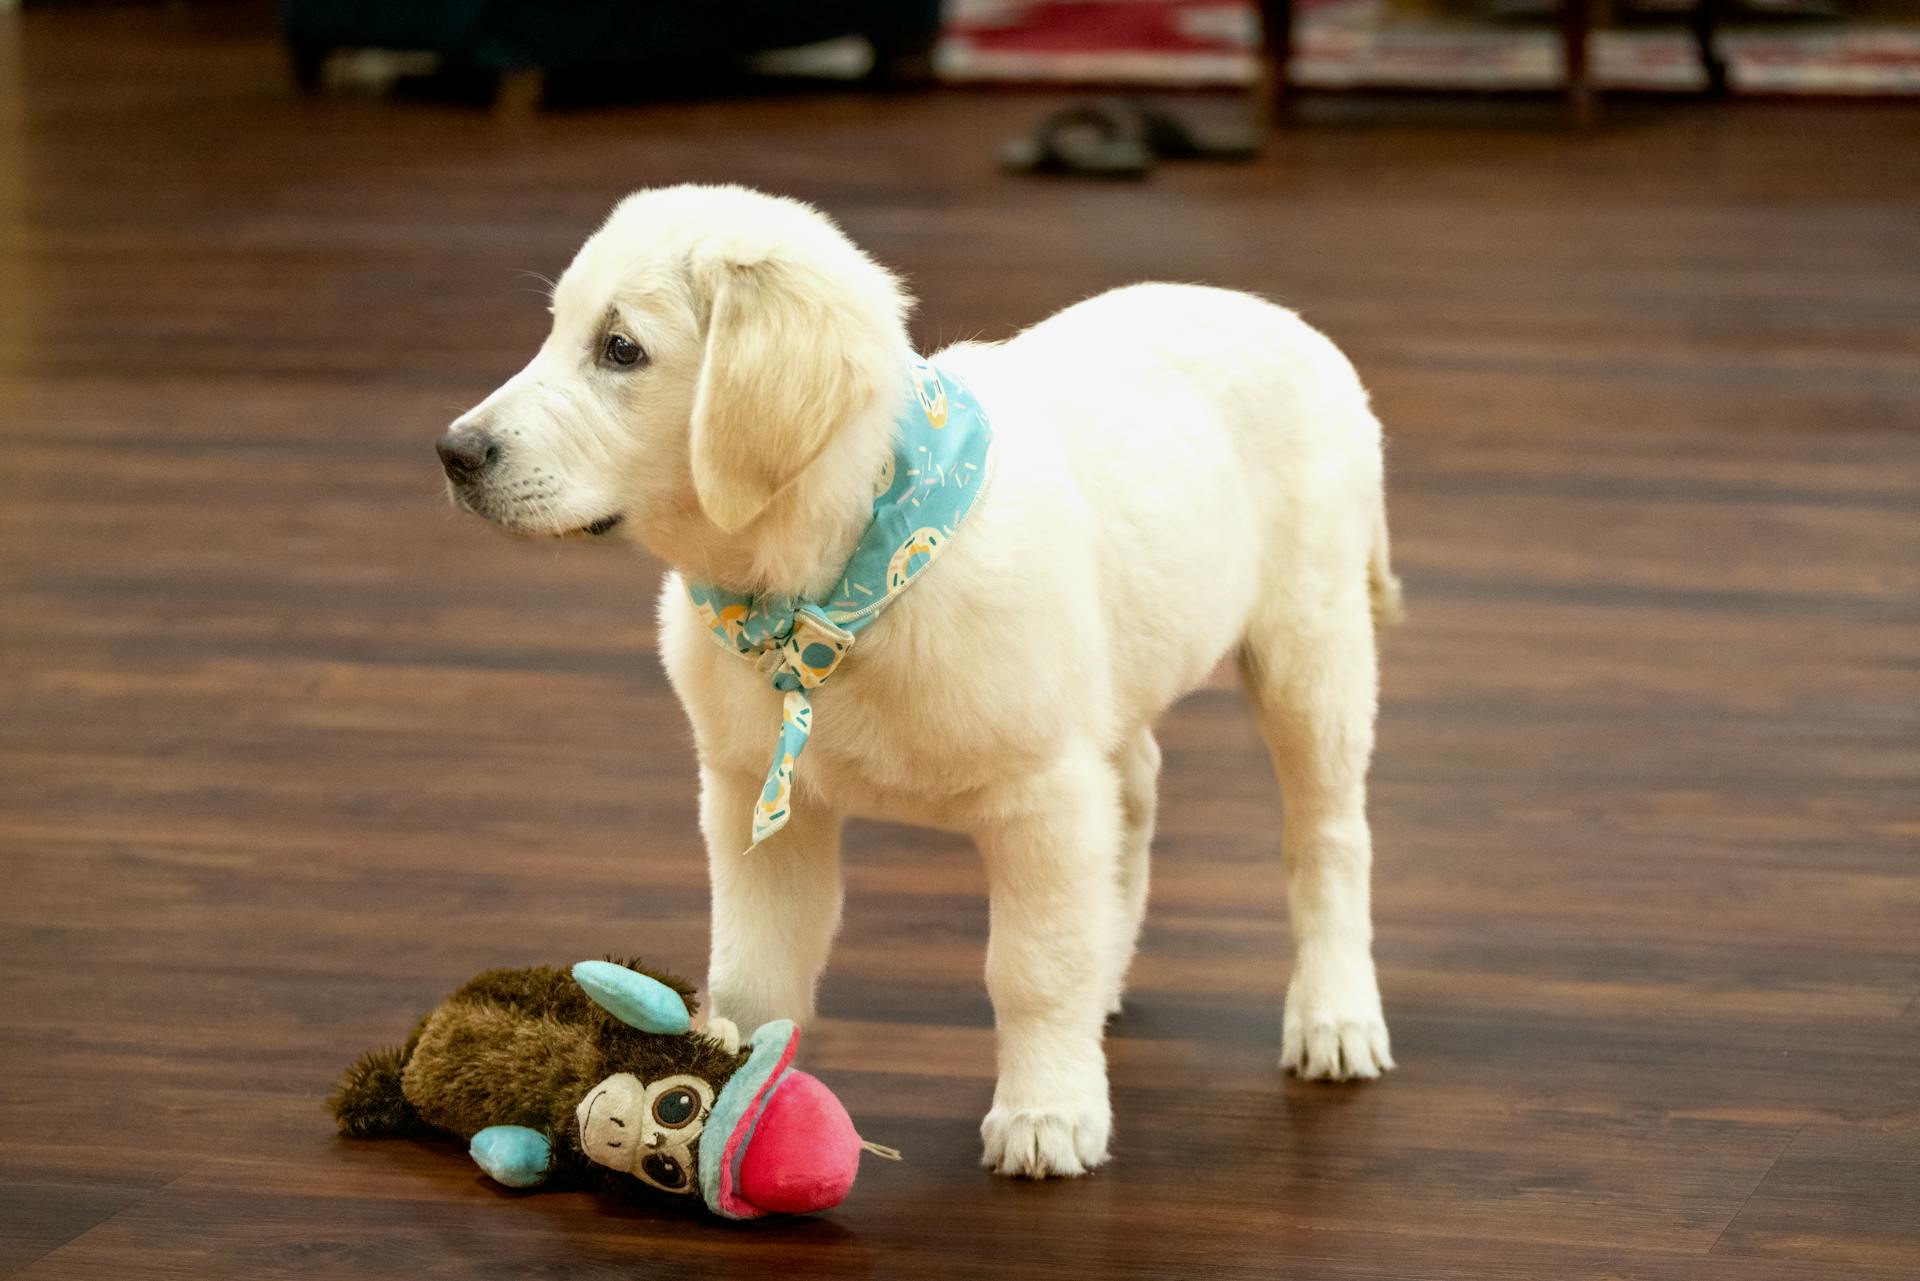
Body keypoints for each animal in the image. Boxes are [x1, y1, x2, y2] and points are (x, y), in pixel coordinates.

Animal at [435, 182, 1397, 1183]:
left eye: (621, 348)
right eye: (557, 329)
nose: (452, 451)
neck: (833, 591)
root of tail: (1283, 318)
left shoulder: (1042, 796)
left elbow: (1032, 966)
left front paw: (1048, 1110)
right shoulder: (757, 800)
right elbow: (756, 963)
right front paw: (726, 1086)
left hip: (1310, 648)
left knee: (1327, 837)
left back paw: (1334, 1013)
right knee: (1134, 794)